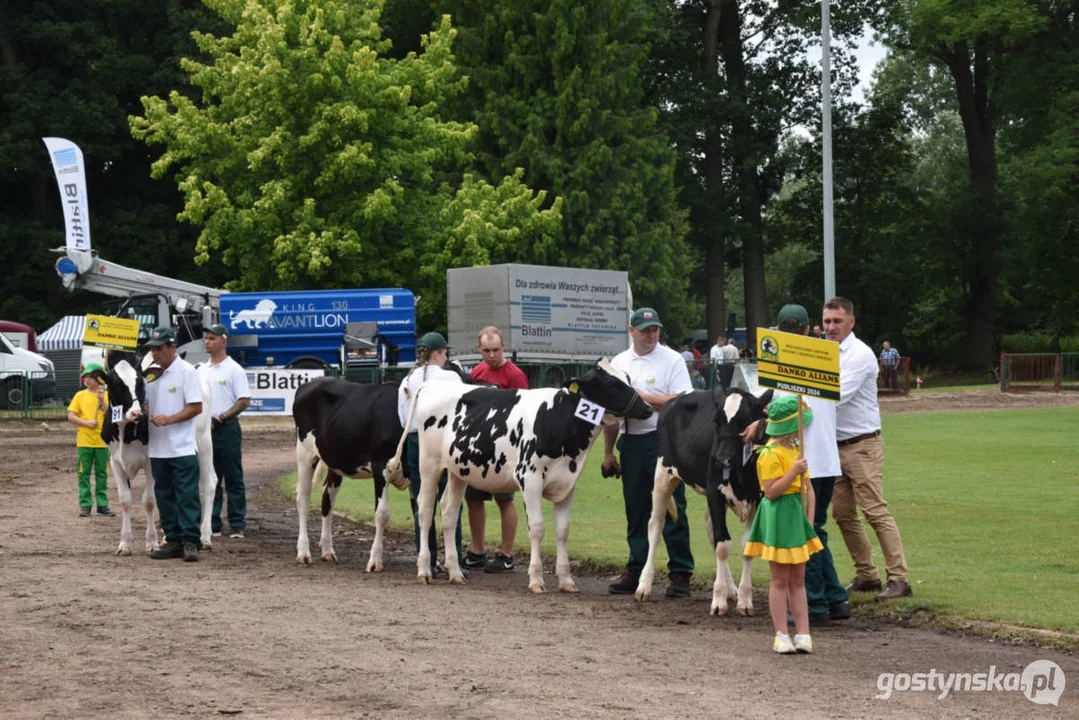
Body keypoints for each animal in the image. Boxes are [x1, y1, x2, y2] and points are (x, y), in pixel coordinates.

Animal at [101, 351, 219, 557]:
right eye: (115, 385)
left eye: (140, 383)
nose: (137, 412)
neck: (126, 430)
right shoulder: (115, 461)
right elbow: (125, 500)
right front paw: (125, 544)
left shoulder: (151, 462)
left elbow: (149, 500)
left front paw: (151, 543)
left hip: (204, 441)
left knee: (209, 483)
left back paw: (204, 537)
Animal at [291, 379, 407, 569]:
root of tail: (310, 383)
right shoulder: (381, 466)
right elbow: (382, 513)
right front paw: (375, 560)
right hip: (305, 452)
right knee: (303, 498)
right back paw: (303, 552)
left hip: (333, 460)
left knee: (327, 499)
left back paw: (327, 551)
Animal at [392, 358, 651, 591]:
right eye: (611, 385)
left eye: (627, 379)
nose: (647, 408)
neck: (557, 419)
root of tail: (433, 385)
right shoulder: (530, 477)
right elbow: (536, 527)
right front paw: (536, 580)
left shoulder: (568, 483)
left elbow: (563, 530)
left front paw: (566, 581)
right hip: (429, 464)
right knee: (425, 510)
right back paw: (424, 571)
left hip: (458, 469)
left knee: (448, 512)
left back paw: (455, 573)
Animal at [630, 386, 776, 617]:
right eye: (716, 421)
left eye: (745, 421)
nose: (722, 457)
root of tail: (677, 397)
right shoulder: (715, 492)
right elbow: (723, 545)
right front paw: (718, 601)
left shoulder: (757, 497)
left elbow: (745, 546)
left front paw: (744, 600)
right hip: (663, 472)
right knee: (655, 526)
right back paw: (644, 586)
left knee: (711, 532)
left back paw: (732, 590)